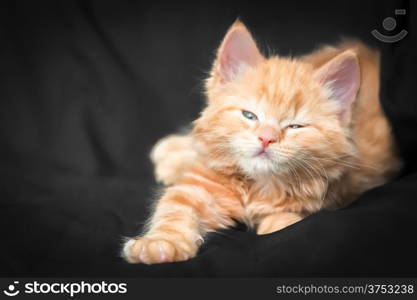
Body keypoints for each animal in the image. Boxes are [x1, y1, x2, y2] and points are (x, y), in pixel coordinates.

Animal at [122, 21, 400, 264]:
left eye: (295, 126)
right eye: (249, 115)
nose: (266, 138)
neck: (257, 186)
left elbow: (284, 223)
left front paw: (272, 222)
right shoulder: (199, 187)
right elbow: (173, 210)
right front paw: (159, 244)